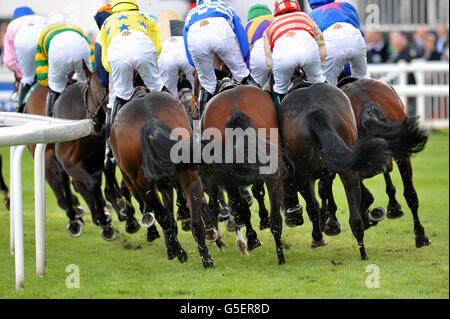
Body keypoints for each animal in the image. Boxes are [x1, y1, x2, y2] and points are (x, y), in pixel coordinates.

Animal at [110, 90, 216, 270]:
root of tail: (150, 118)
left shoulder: (139, 182)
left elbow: (165, 216)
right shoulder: (170, 182)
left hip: (141, 184)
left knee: (162, 217)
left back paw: (178, 252)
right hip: (189, 178)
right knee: (195, 221)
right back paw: (206, 259)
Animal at [280, 81, 392, 262]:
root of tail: (315, 111)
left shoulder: (306, 176)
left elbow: (317, 200)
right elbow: (325, 191)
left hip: (303, 175)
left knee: (312, 208)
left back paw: (318, 236)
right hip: (349, 170)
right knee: (355, 218)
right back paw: (363, 251)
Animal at [316, 79, 428, 249]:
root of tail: (366, 100)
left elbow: (326, 187)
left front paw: (330, 222)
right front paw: (392, 207)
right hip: (402, 153)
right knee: (411, 195)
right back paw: (420, 236)